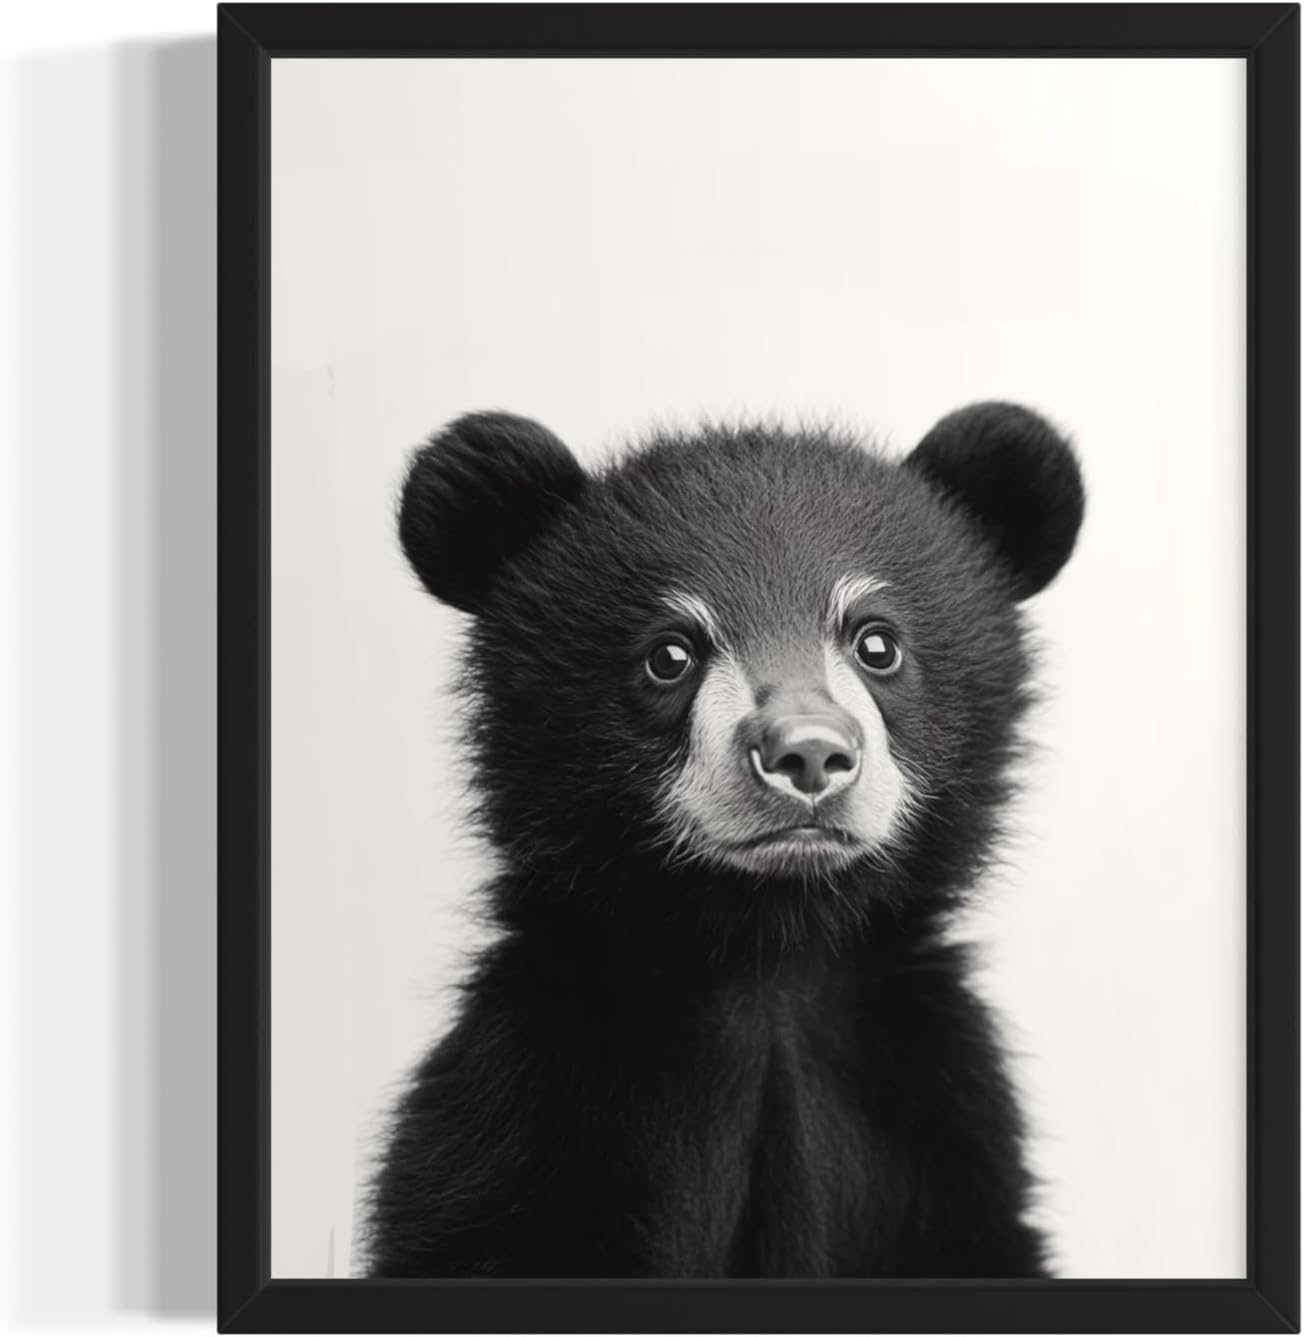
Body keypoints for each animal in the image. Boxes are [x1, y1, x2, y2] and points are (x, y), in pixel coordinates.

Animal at [363, 403, 1085, 1279]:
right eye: (669, 653)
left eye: (877, 642)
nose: (807, 753)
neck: (765, 955)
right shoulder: (531, 1096)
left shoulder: (933, 1110)